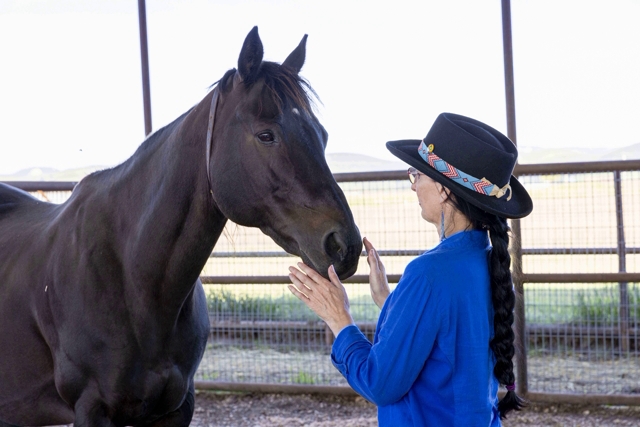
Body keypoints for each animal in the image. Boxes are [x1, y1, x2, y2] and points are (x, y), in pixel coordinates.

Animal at [0, 26, 362, 426]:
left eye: (322, 135)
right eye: (266, 135)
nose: (344, 245)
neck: (132, 278)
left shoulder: (177, 406)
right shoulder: (91, 408)